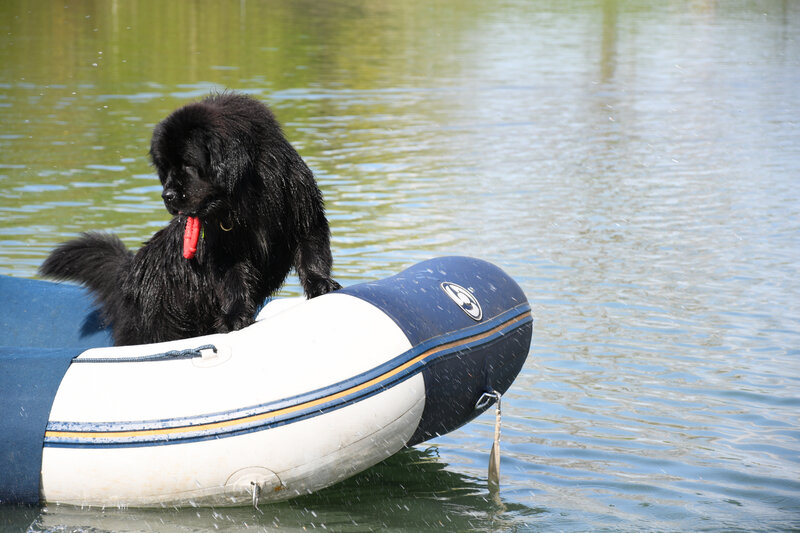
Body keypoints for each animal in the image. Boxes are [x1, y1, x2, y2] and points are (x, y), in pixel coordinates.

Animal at [40, 91, 340, 344]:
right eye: (165, 167)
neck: (249, 201)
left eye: (187, 164)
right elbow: (233, 281)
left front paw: (322, 284)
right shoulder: (225, 251)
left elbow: (312, 252)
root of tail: (127, 275)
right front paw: (234, 318)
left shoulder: (303, 211)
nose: (168, 195)